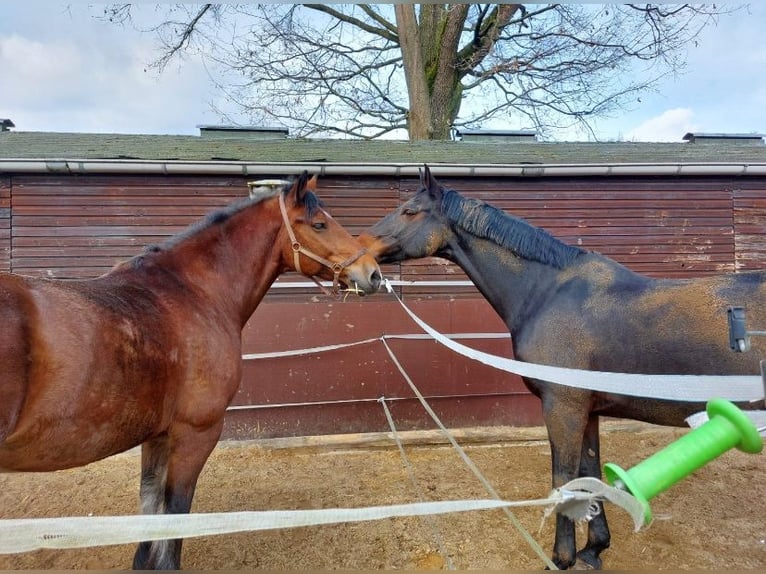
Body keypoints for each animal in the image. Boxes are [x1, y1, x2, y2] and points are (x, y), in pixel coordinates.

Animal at [0, 172, 381, 570]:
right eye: (320, 224)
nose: (372, 273)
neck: (194, 294)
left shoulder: (157, 437)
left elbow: (149, 512)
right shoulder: (195, 434)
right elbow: (175, 518)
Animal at [361, 165, 765, 570]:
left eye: (410, 212)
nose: (363, 261)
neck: (547, 292)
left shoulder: (563, 407)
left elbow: (563, 478)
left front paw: (561, 557)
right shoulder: (588, 410)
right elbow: (590, 472)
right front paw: (593, 548)